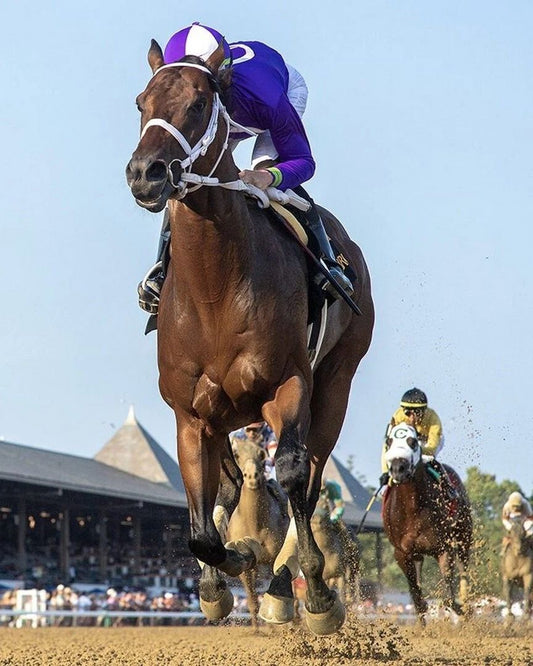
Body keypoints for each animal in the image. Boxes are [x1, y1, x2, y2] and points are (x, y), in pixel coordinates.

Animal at [226, 438, 290, 628]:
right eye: (237, 454)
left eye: (261, 453)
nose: (252, 476)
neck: (255, 524)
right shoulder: (245, 569)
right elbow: (253, 600)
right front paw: (256, 630)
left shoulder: (274, 559)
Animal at [381, 424, 473, 624]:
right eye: (389, 441)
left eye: (413, 442)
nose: (398, 468)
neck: (413, 508)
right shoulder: (402, 554)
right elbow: (416, 597)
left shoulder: (444, 548)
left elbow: (448, 596)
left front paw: (462, 609)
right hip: (418, 556)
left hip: (464, 537)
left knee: (464, 572)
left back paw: (467, 607)